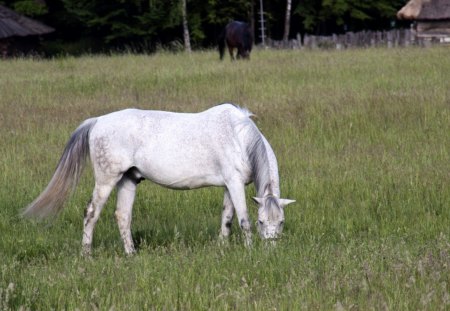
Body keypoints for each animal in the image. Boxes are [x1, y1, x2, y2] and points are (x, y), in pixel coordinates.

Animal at [23, 105, 296, 256]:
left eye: (281, 222)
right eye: (262, 222)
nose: (271, 251)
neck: (239, 137)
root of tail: (97, 121)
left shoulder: (230, 185)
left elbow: (227, 219)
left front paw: (222, 248)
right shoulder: (235, 184)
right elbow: (243, 220)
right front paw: (249, 253)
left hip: (128, 180)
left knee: (123, 216)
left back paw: (131, 254)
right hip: (107, 179)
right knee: (91, 213)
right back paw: (86, 255)